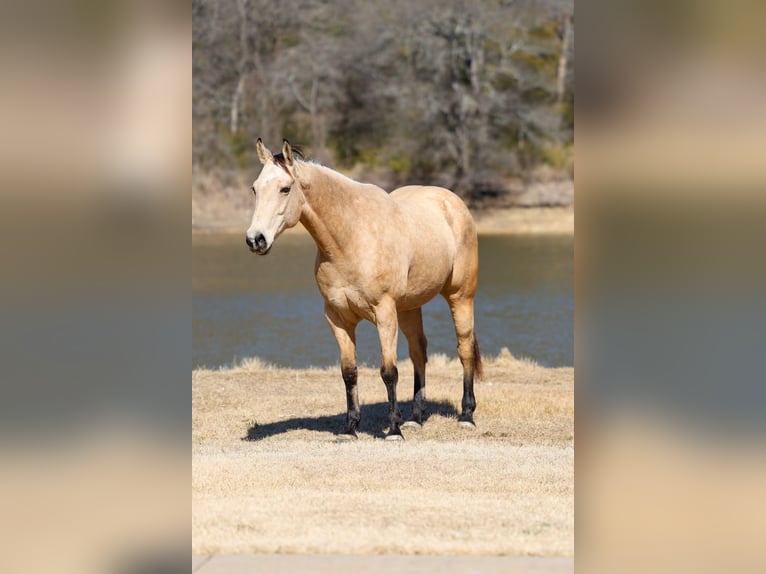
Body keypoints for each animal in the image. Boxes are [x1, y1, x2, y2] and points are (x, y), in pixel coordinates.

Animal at [245, 139, 482, 440]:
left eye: (285, 188)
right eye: (255, 188)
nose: (256, 239)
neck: (351, 237)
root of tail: (453, 202)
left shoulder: (384, 313)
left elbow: (389, 372)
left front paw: (393, 429)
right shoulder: (337, 318)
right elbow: (349, 372)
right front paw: (350, 428)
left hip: (460, 296)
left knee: (464, 349)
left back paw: (466, 415)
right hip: (410, 308)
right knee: (419, 351)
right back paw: (416, 417)